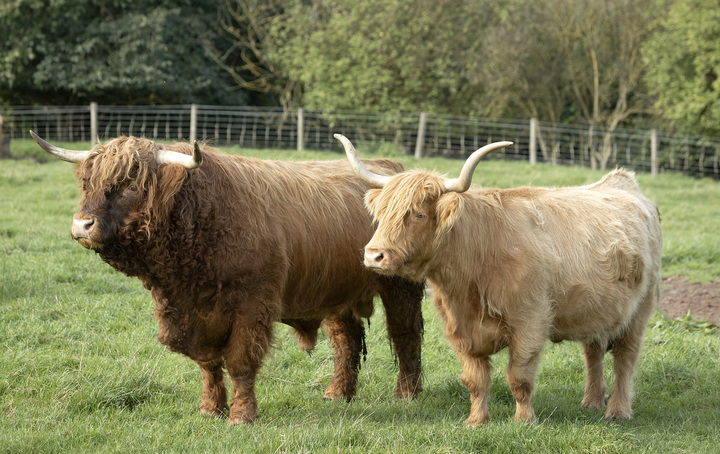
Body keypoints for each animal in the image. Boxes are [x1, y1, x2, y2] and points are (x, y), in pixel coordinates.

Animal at [33, 131, 424, 426]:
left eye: (131, 185)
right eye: (89, 183)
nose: (82, 224)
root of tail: (391, 170)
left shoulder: (253, 305)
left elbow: (240, 361)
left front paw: (241, 415)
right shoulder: (195, 314)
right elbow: (208, 364)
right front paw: (210, 410)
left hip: (399, 285)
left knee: (405, 334)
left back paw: (407, 393)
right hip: (334, 288)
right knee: (346, 340)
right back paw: (337, 394)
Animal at [338, 134, 664, 426]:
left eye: (418, 214)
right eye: (381, 213)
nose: (374, 256)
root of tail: (622, 181)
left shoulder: (530, 321)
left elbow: (519, 378)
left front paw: (524, 421)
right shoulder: (459, 329)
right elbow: (474, 380)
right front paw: (476, 421)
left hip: (640, 307)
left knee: (625, 358)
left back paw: (618, 411)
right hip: (597, 308)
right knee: (593, 351)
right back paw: (592, 402)